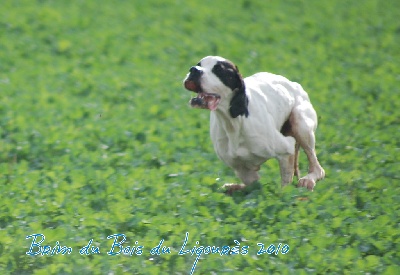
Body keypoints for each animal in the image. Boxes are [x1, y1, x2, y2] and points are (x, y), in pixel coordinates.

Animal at [184, 56, 324, 194]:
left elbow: (284, 186)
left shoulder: (286, 149)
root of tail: (294, 84)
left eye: (219, 70)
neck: (233, 123)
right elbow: (254, 184)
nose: (194, 70)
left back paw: (308, 180)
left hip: (300, 124)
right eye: (199, 64)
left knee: (318, 169)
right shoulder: (241, 168)